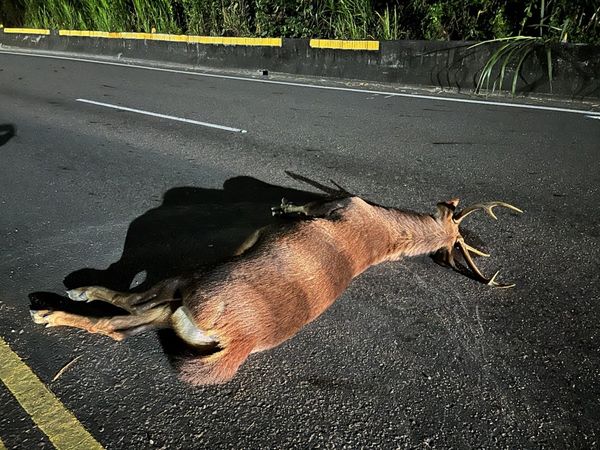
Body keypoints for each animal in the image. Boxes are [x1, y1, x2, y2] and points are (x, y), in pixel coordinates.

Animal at [30, 181, 524, 384]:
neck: (386, 231)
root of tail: (239, 341)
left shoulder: (332, 207)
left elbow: (288, 213)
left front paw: (283, 204)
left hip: (196, 284)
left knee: (124, 305)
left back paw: (56, 304)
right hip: (179, 309)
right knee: (118, 326)